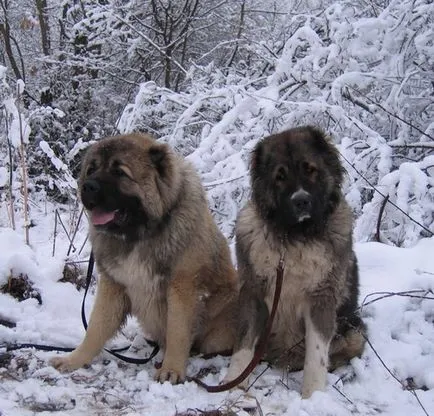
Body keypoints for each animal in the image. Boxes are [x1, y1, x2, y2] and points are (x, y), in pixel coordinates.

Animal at [51, 133, 241, 384]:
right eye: (91, 169)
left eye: (120, 172)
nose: (87, 186)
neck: (141, 235)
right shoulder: (114, 285)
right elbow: (95, 328)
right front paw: (74, 359)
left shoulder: (182, 288)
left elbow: (178, 331)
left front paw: (171, 369)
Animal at [225, 126, 364, 396]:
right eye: (280, 176)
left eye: (310, 169)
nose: (301, 201)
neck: (295, 237)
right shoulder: (252, 292)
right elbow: (243, 345)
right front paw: (234, 383)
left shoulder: (321, 297)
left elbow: (317, 355)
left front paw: (313, 396)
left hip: (355, 331)